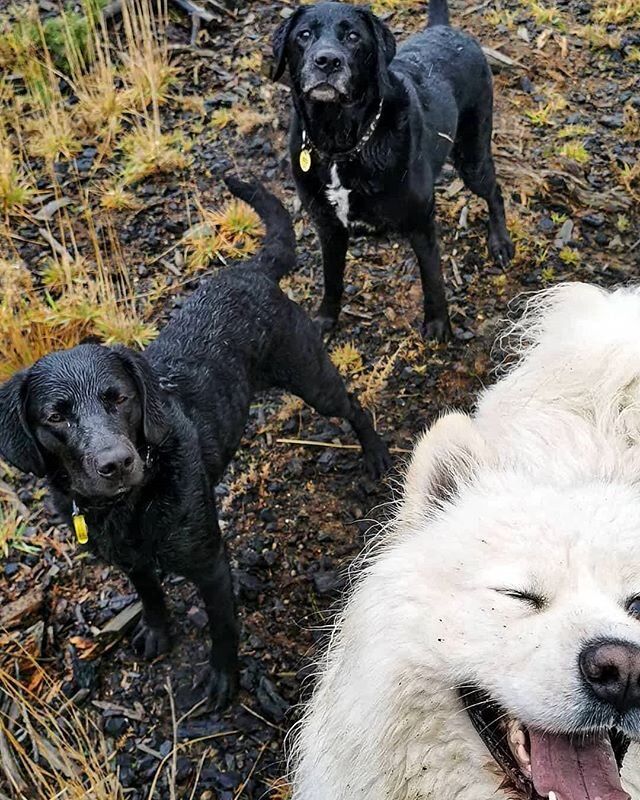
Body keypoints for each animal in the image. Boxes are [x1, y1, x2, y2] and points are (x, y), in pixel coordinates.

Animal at [0, 175, 390, 708]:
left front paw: (224, 679)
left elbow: (223, 629)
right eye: (56, 416)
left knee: (353, 404)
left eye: (119, 398)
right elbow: (150, 595)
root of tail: (249, 270)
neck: (131, 506)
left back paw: (375, 454)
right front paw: (156, 631)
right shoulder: (132, 562)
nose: (116, 463)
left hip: (310, 376)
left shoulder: (211, 566)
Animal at [270, 0, 516, 340]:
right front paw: (324, 319)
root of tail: (445, 29)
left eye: (353, 37)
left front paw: (438, 325)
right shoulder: (328, 227)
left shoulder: (421, 222)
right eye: (304, 35)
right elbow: (332, 278)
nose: (327, 61)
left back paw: (500, 241)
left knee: (494, 191)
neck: (341, 143)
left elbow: (433, 277)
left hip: (472, 155)